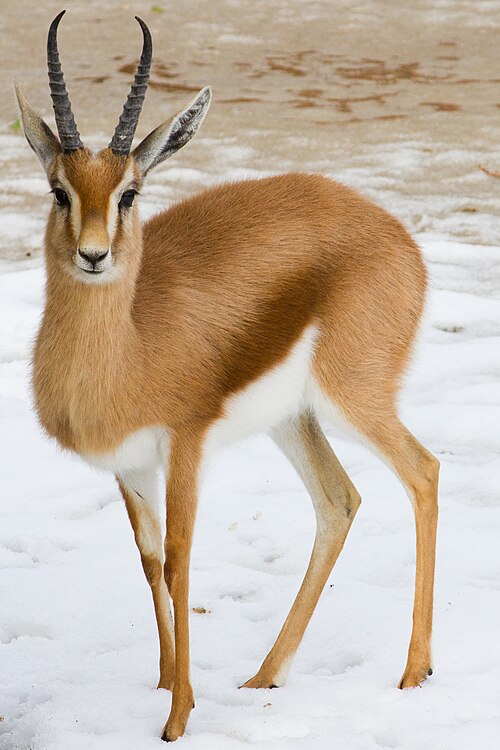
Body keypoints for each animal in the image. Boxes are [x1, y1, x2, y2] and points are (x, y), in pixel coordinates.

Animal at [16, 9, 439, 742]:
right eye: (58, 190)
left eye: (130, 193)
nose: (93, 256)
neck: (128, 351)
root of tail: (397, 234)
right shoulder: (131, 467)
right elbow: (150, 558)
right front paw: (163, 683)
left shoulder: (186, 445)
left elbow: (182, 557)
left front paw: (179, 718)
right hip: (292, 420)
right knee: (339, 500)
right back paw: (266, 674)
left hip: (353, 400)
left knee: (423, 472)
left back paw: (414, 674)